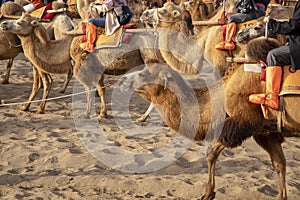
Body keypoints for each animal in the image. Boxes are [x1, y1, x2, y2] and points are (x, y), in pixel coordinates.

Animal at [119, 61, 300, 200]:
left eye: (143, 74)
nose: (122, 80)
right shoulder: (266, 132)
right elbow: (279, 164)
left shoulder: (244, 123)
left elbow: (211, 154)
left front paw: (208, 193)